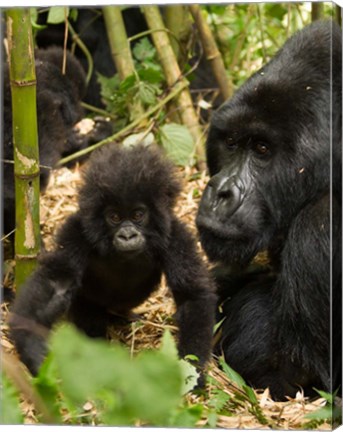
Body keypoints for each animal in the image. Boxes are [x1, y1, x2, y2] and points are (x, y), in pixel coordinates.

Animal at [8, 143, 218, 376]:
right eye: (115, 217)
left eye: (137, 215)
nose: (127, 235)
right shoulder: (77, 232)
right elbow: (55, 284)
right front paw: (33, 350)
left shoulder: (175, 237)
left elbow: (191, 297)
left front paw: (190, 371)